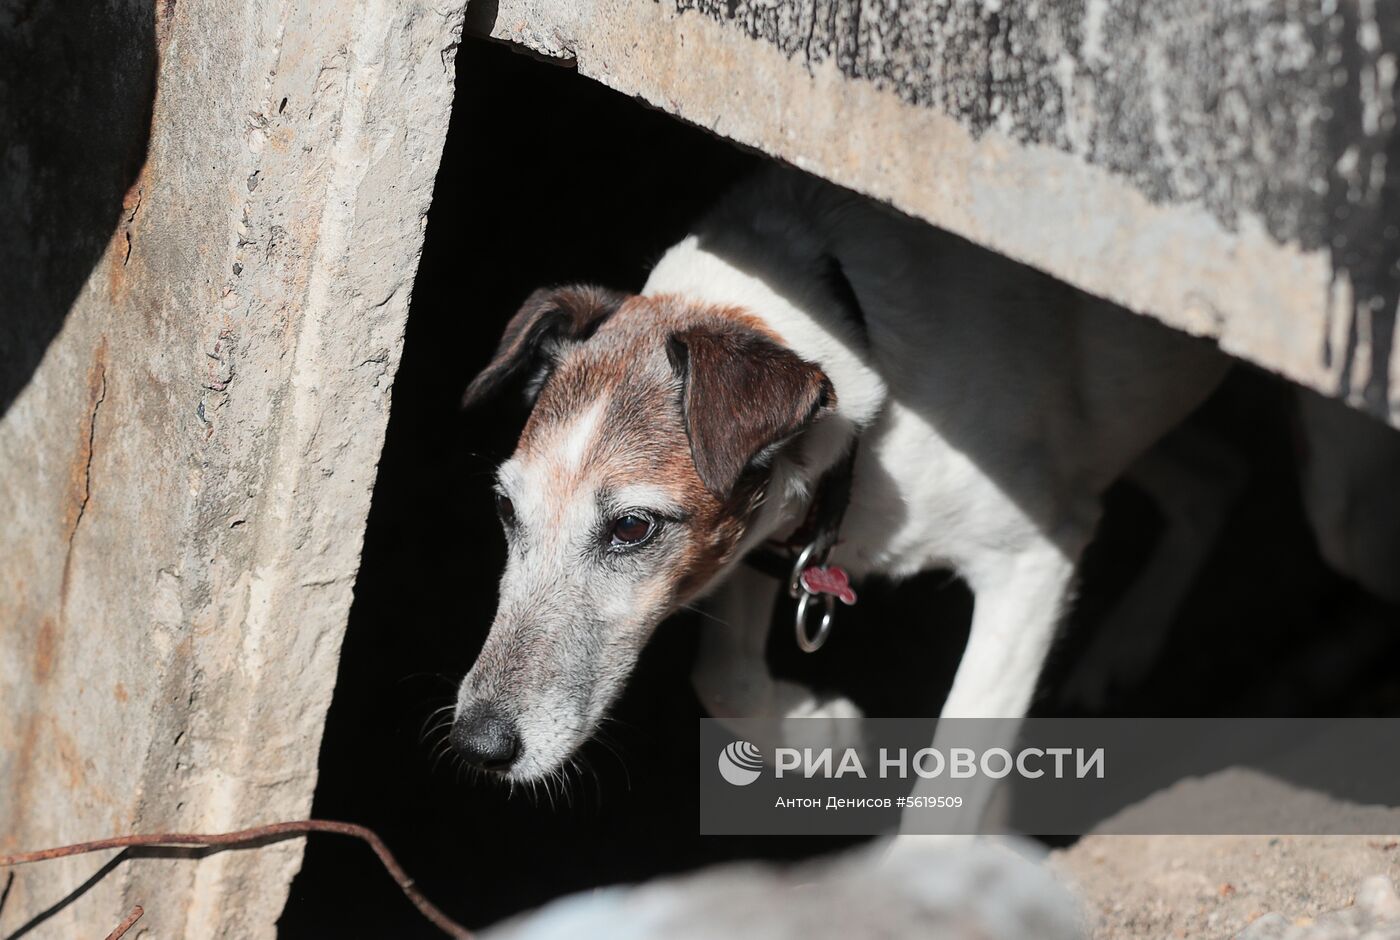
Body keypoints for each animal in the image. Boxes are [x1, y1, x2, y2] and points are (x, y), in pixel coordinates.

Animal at [450, 167, 1226, 823]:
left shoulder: (1033, 561)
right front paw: (820, 732)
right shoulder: (766, 531)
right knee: (1215, 476)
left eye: (633, 528)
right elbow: (724, 676)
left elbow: (949, 789)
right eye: (505, 509)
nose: (477, 745)